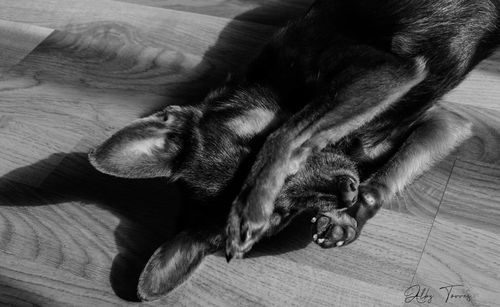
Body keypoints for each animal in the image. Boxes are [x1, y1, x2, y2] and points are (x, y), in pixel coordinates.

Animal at [88, 0, 498, 304]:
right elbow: (383, 182)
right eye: (282, 216)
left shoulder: (385, 68)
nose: (346, 189)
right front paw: (349, 217)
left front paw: (248, 206)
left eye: (253, 147)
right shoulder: (445, 123)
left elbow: (288, 132)